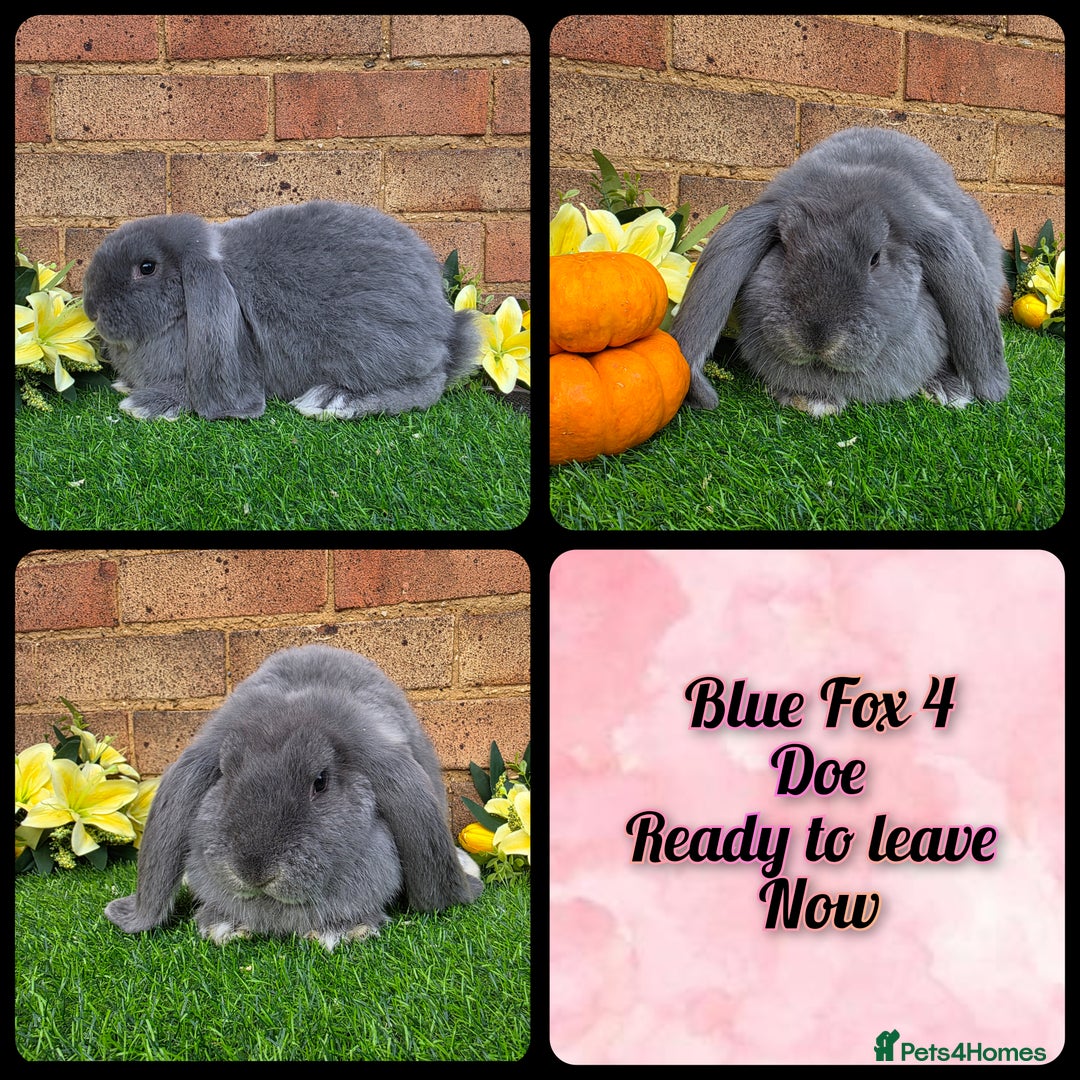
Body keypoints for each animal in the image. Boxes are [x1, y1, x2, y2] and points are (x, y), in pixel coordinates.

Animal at [81, 201, 479, 421]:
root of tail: (444, 329)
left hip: (377, 350)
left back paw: (332, 400)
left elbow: (184, 391)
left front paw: (145, 405)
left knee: (426, 387)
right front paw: (123, 384)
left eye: (147, 268)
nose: (91, 309)